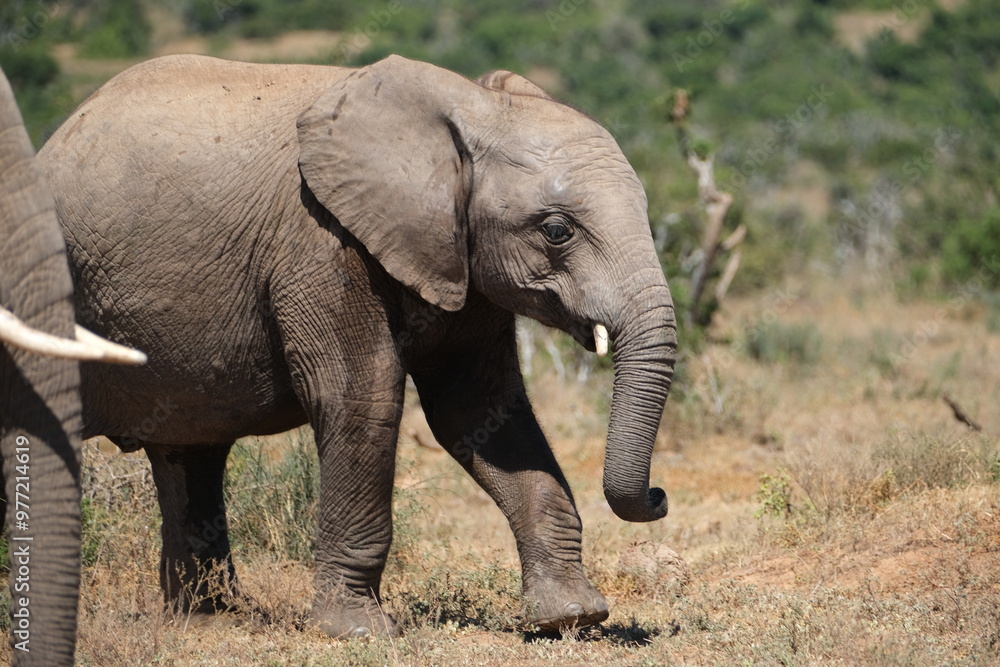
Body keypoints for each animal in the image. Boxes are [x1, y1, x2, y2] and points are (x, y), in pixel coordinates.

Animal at [35, 54, 678, 638]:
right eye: (556, 231)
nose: (659, 494)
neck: (468, 107)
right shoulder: (319, 241)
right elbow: (363, 397)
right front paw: (358, 632)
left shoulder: (461, 261)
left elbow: (481, 411)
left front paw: (571, 617)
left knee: (190, 449)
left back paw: (209, 621)